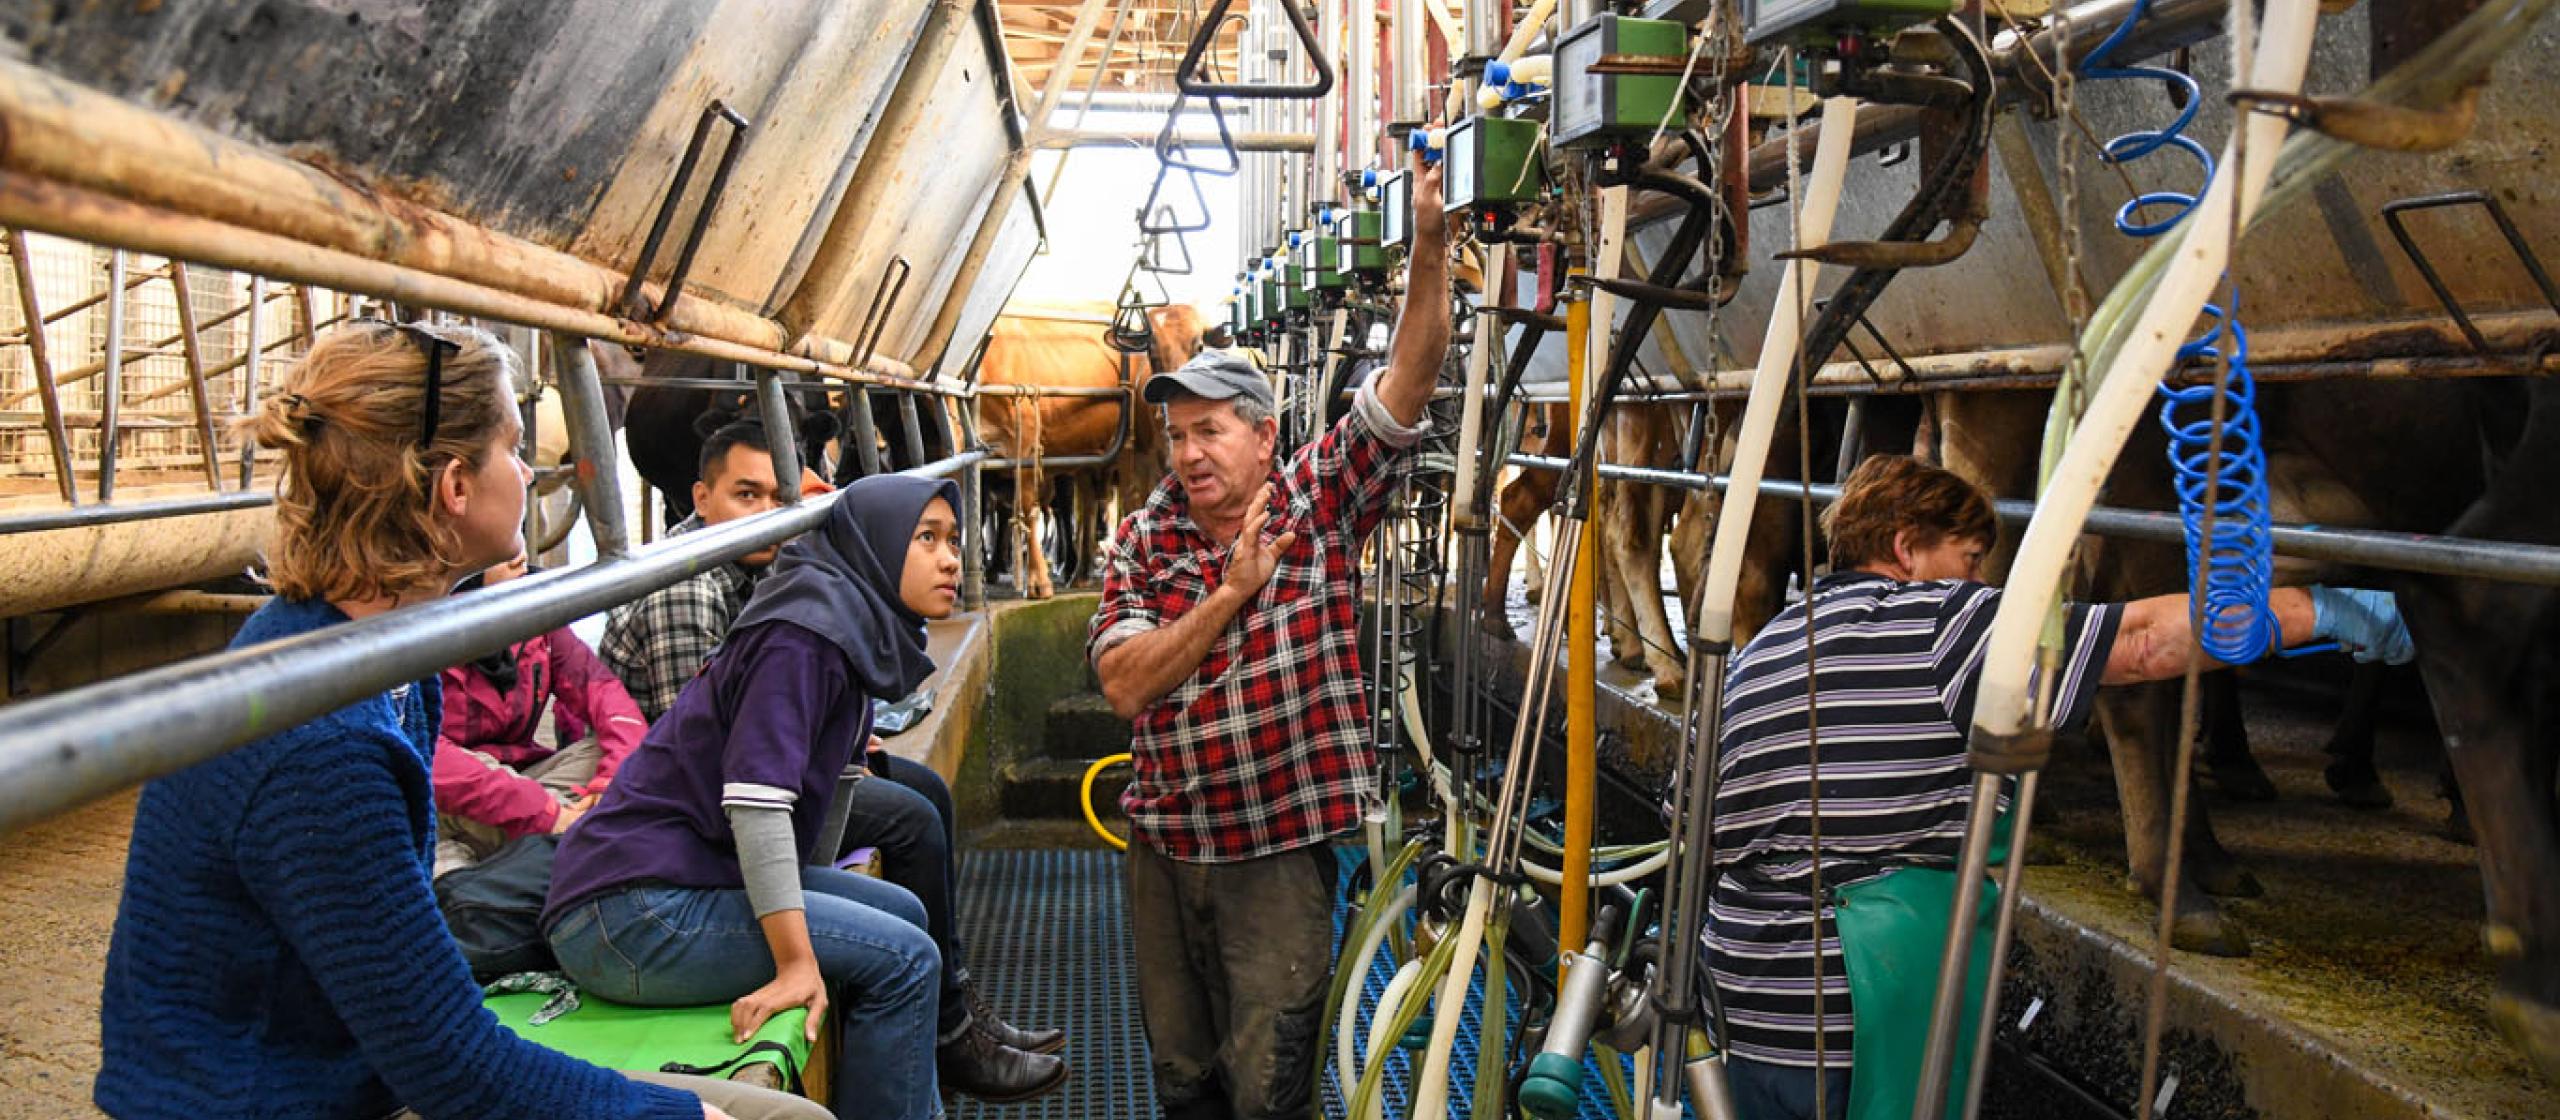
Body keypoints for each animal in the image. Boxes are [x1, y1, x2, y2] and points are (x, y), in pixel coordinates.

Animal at [972, 297, 1203, 595]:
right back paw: (1079, 571)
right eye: (1152, 350)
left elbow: (1026, 507)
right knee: (1088, 508)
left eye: (1199, 346)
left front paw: (1037, 581)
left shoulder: (1026, 442)